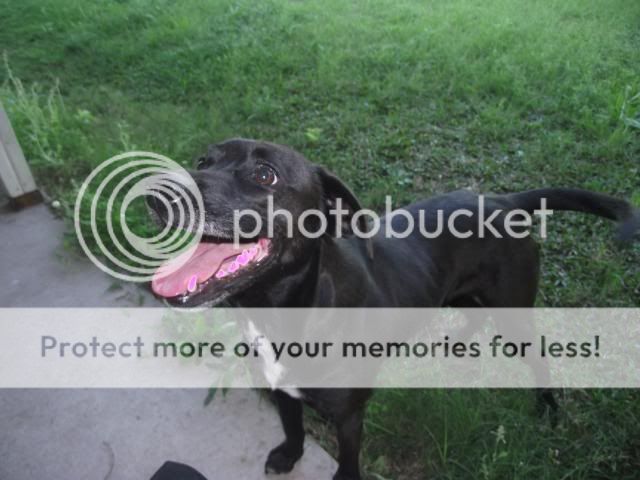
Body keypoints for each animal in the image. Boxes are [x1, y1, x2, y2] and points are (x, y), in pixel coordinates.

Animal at [146, 138, 640, 480]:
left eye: (264, 175)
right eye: (204, 161)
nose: (156, 189)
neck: (287, 312)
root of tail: (504, 200)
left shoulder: (349, 416)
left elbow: (348, 458)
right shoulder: (282, 390)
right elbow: (292, 426)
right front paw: (289, 454)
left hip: (514, 310)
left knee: (538, 357)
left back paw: (549, 408)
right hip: (458, 292)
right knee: (471, 315)